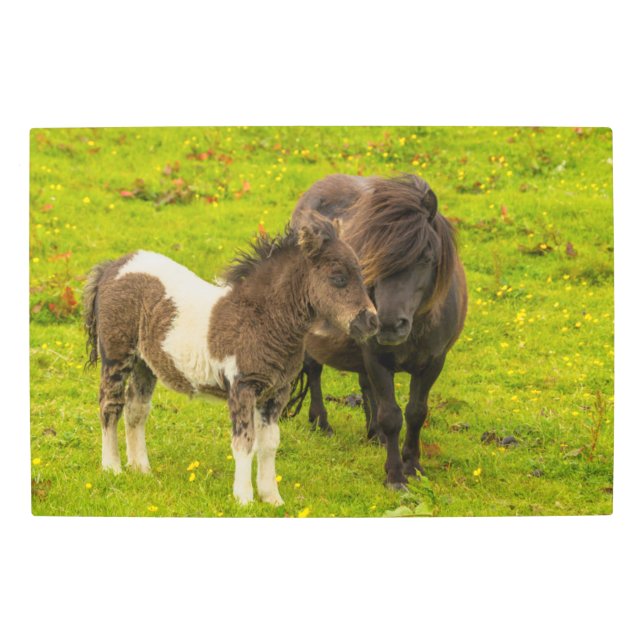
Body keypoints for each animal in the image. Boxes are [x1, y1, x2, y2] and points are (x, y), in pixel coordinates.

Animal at [83, 209, 378, 506]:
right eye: (338, 277)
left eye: (360, 273)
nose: (371, 321)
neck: (262, 319)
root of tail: (112, 267)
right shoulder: (242, 386)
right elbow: (244, 442)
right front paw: (244, 498)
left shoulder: (276, 391)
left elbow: (269, 443)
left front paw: (272, 498)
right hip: (116, 355)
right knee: (110, 406)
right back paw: (112, 468)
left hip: (145, 364)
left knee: (136, 410)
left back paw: (141, 469)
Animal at [288, 174, 468, 489]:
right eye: (372, 258)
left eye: (426, 257)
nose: (389, 324)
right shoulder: (376, 358)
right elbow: (391, 415)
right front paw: (395, 475)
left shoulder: (433, 362)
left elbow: (416, 412)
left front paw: (413, 465)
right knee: (314, 370)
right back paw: (322, 423)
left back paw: (374, 435)